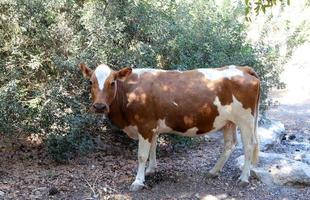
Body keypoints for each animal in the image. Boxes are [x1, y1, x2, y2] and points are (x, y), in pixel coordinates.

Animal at [78, 63, 260, 191]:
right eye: (90, 82)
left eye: (112, 82)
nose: (99, 106)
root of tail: (242, 68)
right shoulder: (153, 127)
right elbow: (153, 148)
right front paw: (151, 169)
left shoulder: (145, 125)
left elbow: (141, 155)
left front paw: (138, 181)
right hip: (229, 121)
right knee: (230, 144)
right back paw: (213, 171)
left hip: (246, 119)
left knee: (249, 145)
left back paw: (243, 178)